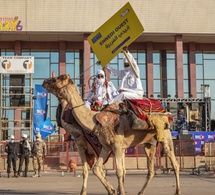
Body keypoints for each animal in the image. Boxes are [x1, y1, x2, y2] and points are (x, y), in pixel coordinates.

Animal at [42, 74, 180, 195]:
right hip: (149, 143)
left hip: (166, 136)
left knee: (175, 163)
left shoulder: (115, 145)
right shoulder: (105, 146)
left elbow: (119, 171)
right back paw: (140, 192)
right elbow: (96, 168)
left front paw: (119, 191)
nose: (44, 81)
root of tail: (165, 111)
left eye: (56, 79)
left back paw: (177, 191)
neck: (94, 121)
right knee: (151, 170)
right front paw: (112, 190)